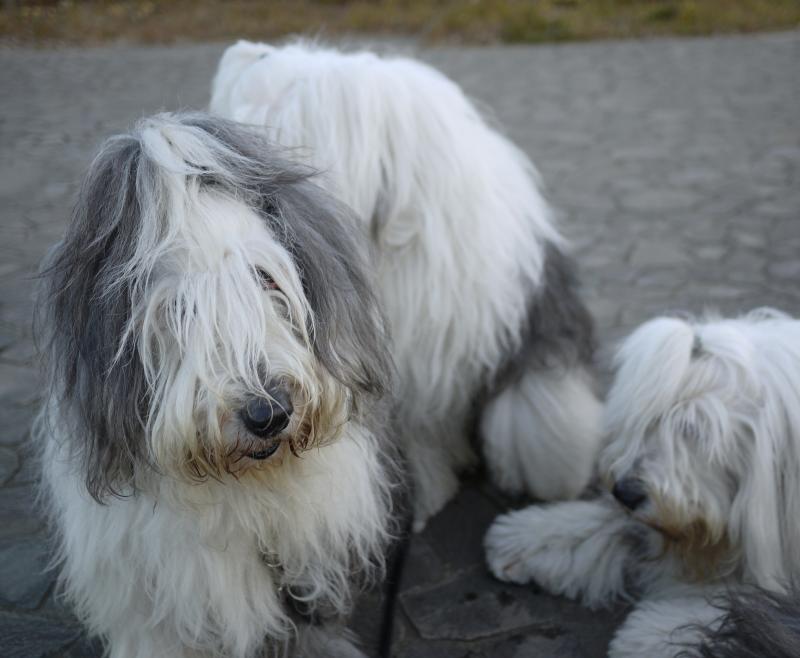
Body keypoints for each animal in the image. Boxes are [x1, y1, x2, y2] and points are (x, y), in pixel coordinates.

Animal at [485, 310, 800, 657]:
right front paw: (522, 538)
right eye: (649, 421)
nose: (625, 493)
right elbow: (610, 527)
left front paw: (648, 635)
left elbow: (748, 609)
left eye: (694, 429)